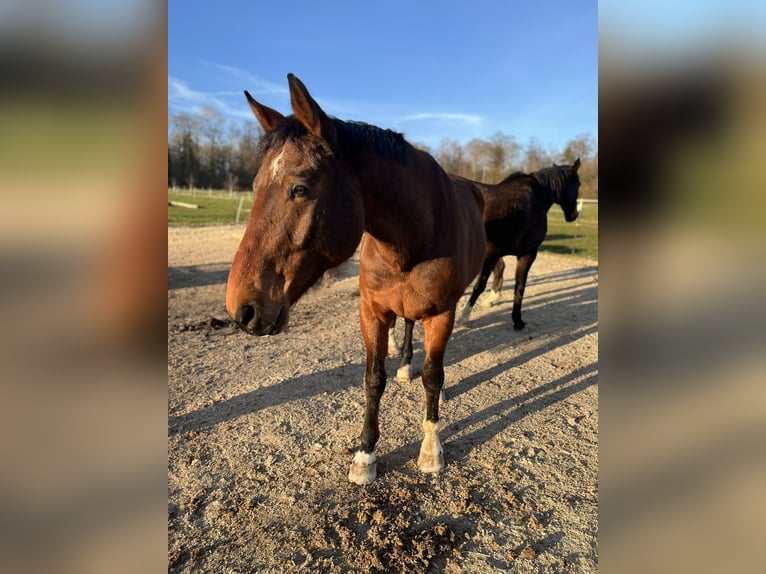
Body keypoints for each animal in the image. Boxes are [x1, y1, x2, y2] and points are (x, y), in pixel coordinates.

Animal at [225, 73, 486, 486]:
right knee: (407, 329)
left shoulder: (441, 313)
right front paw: (365, 454)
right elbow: (372, 379)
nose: (242, 309)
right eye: (254, 188)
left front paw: (431, 450)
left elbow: (433, 375)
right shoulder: (372, 312)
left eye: (300, 188)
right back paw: (405, 365)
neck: (413, 238)